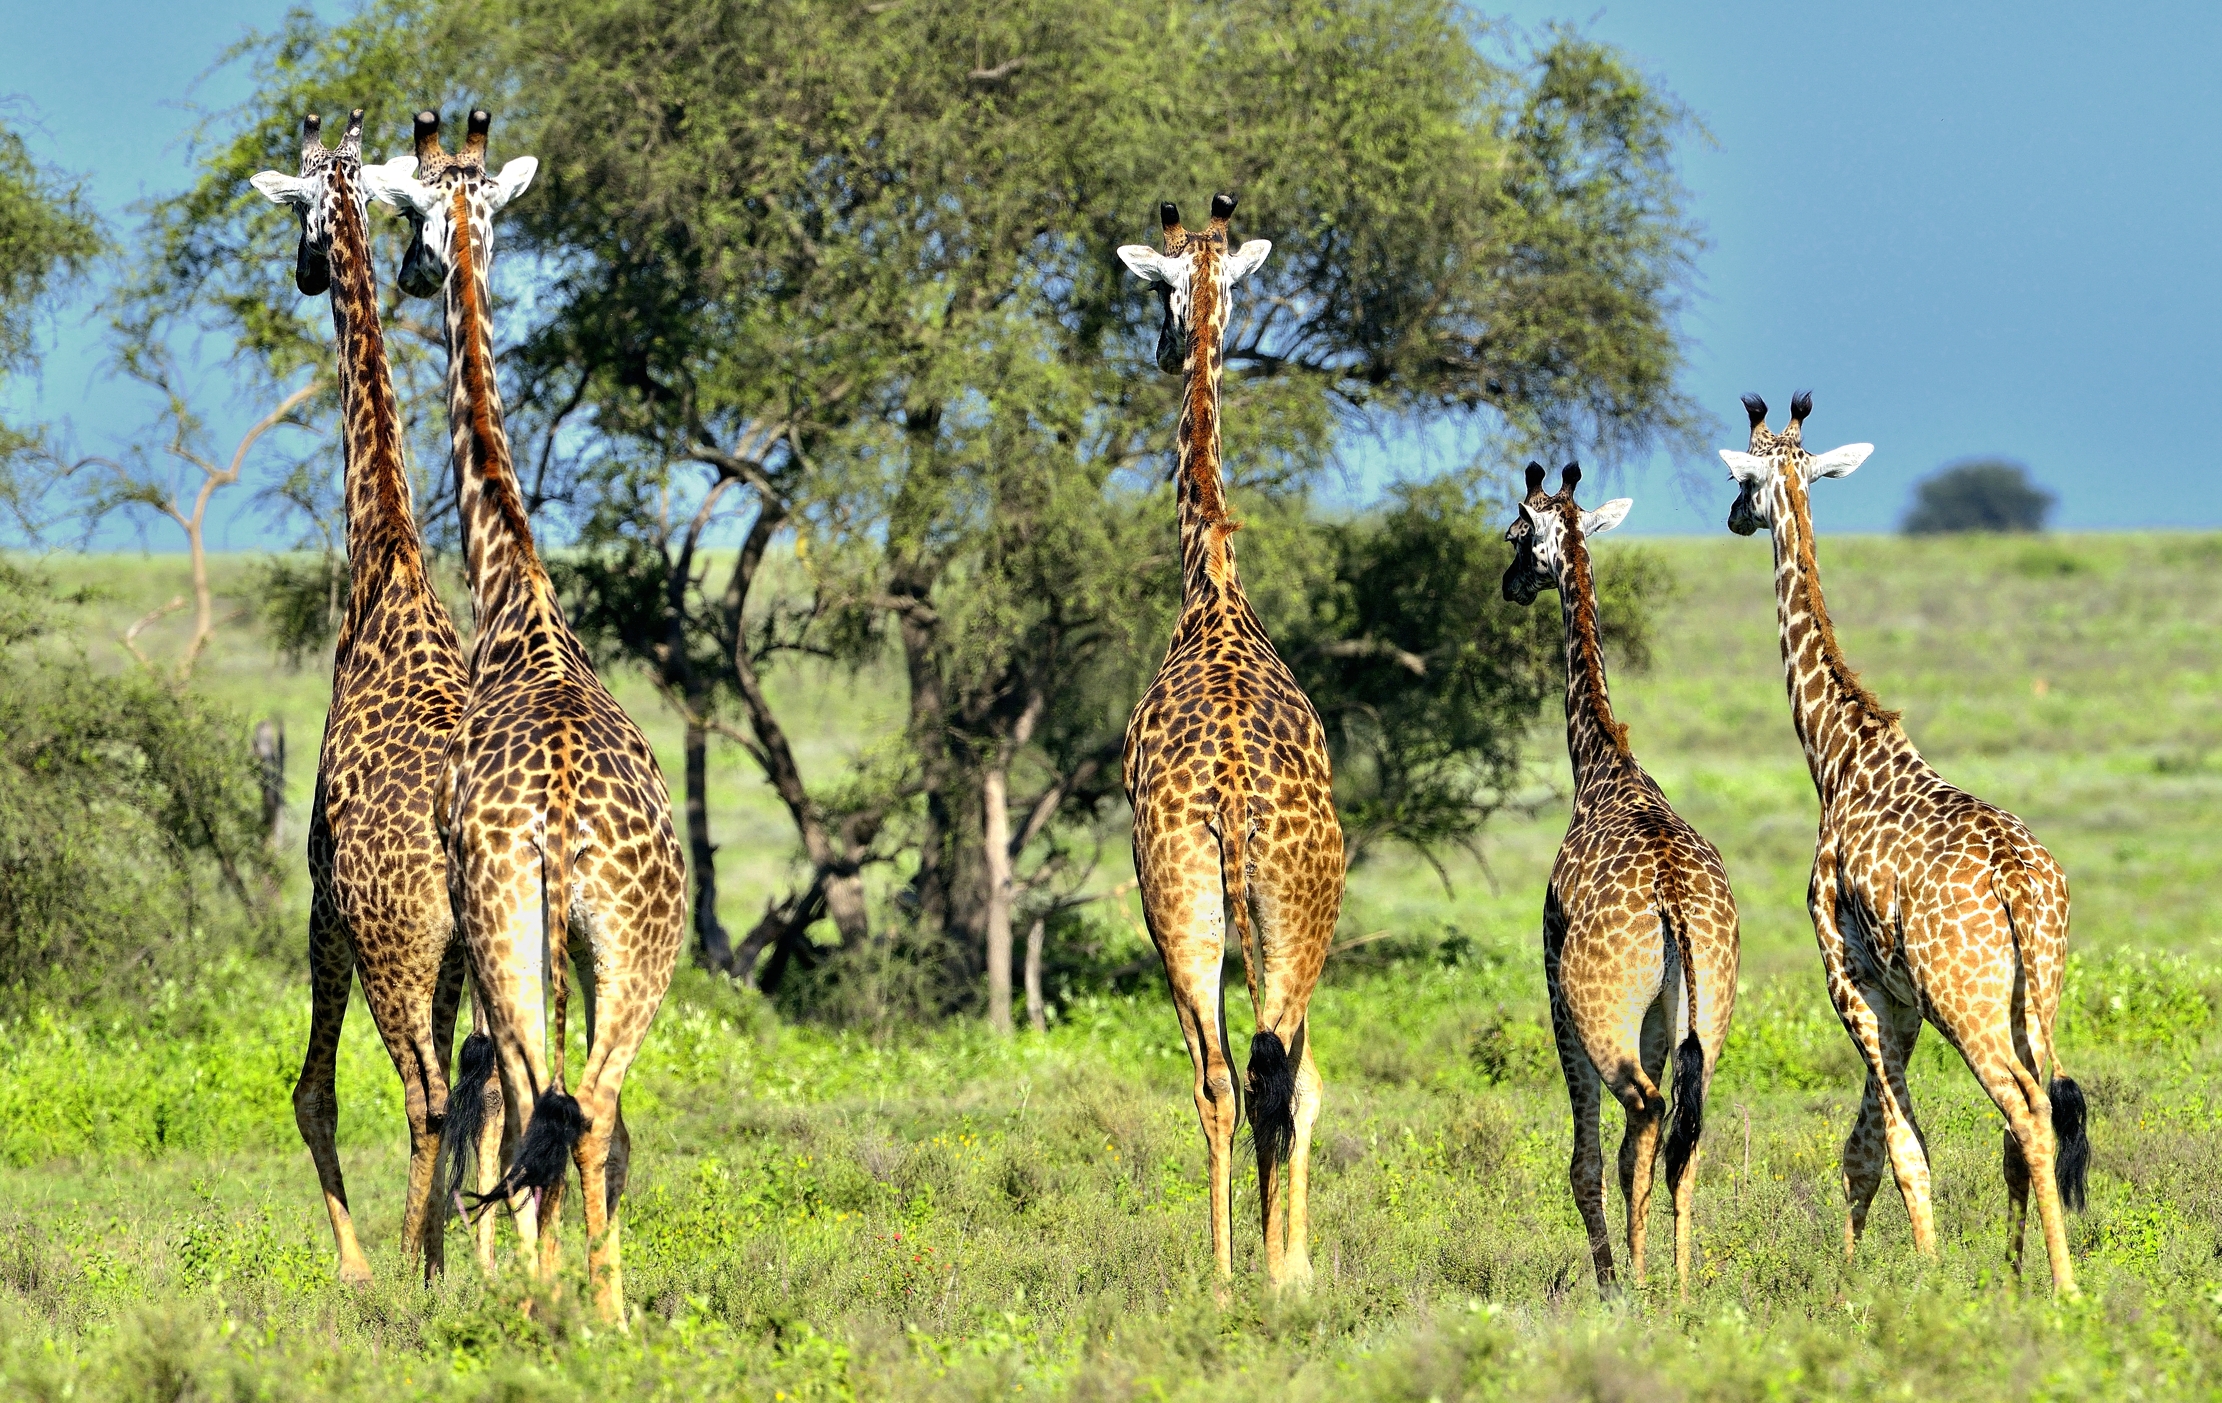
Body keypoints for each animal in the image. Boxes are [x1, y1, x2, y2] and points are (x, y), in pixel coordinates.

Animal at [366, 109, 686, 1322]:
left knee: (532, 1092)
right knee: (582, 1104)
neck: (520, 600)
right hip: (633, 948)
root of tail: (559, 816)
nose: (417, 271)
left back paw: (549, 1299)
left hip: (514, 934)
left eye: (413, 213)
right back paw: (604, 1308)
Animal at [1502, 462, 1740, 1297]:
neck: (1602, 765)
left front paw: (1610, 1282)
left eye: (1514, 536)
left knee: (1642, 1114)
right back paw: (1681, 1286)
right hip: (1709, 1013)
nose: (1509, 585)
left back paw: (1634, 1284)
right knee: (1684, 1136)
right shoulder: (1664, 1022)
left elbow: (1585, 1159)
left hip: (1604, 1016)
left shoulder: (1556, 988)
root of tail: (1674, 905)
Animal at [1722, 391, 2090, 1294]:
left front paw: (1920, 1281)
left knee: (2026, 1107)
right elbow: (1861, 1147)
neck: (1836, 754)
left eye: (1745, 478)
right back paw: (2018, 1275)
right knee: (2030, 1117)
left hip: (1969, 1000)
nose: (1733, 516)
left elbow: (1897, 1145)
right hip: (2035, 990)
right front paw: (1856, 1277)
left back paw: (2064, 1287)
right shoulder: (1898, 995)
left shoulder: (1846, 972)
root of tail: (2020, 884)